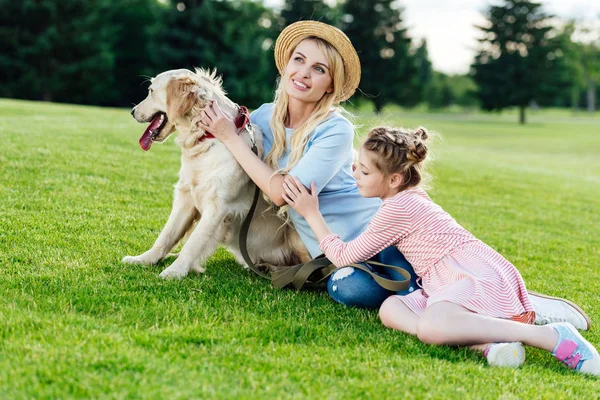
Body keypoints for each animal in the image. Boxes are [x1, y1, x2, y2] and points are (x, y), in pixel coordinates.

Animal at [122, 69, 310, 280]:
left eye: (151, 91)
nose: (132, 111)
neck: (205, 139)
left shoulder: (218, 206)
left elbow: (193, 242)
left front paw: (175, 271)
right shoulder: (186, 198)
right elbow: (167, 235)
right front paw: (144, 259)